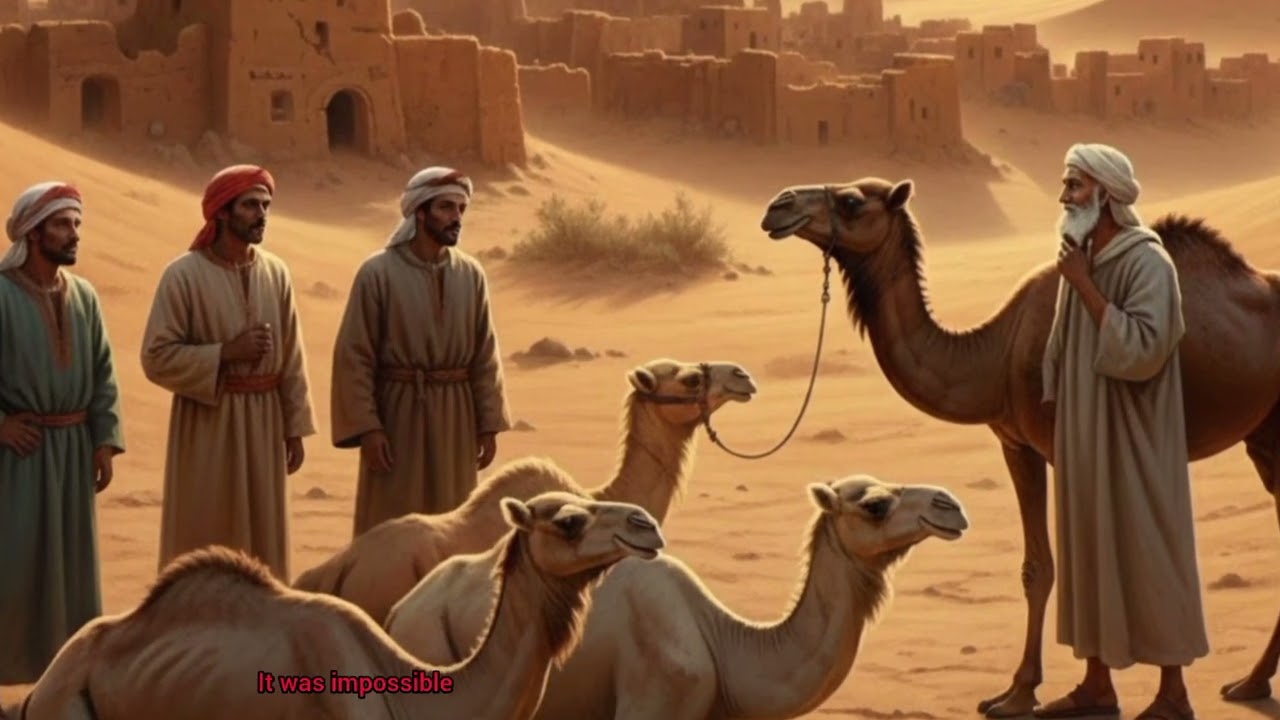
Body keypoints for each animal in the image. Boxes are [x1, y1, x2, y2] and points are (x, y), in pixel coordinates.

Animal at [385, 473, 968, 718]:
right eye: (874, 505)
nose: (950, 505)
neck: (724, 645)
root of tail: (396, 612)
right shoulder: (655, 695)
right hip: (432, 647)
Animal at [758, 177, 1280, 716]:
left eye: (851, 201)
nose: (779, 205)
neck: (996, 354)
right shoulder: (1016, 445)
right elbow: (1037, 568)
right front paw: (1032, 692)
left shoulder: (1067, 443)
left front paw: (1057, 692)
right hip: (1264, 433)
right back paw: (1250, 682)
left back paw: (1184, 699)